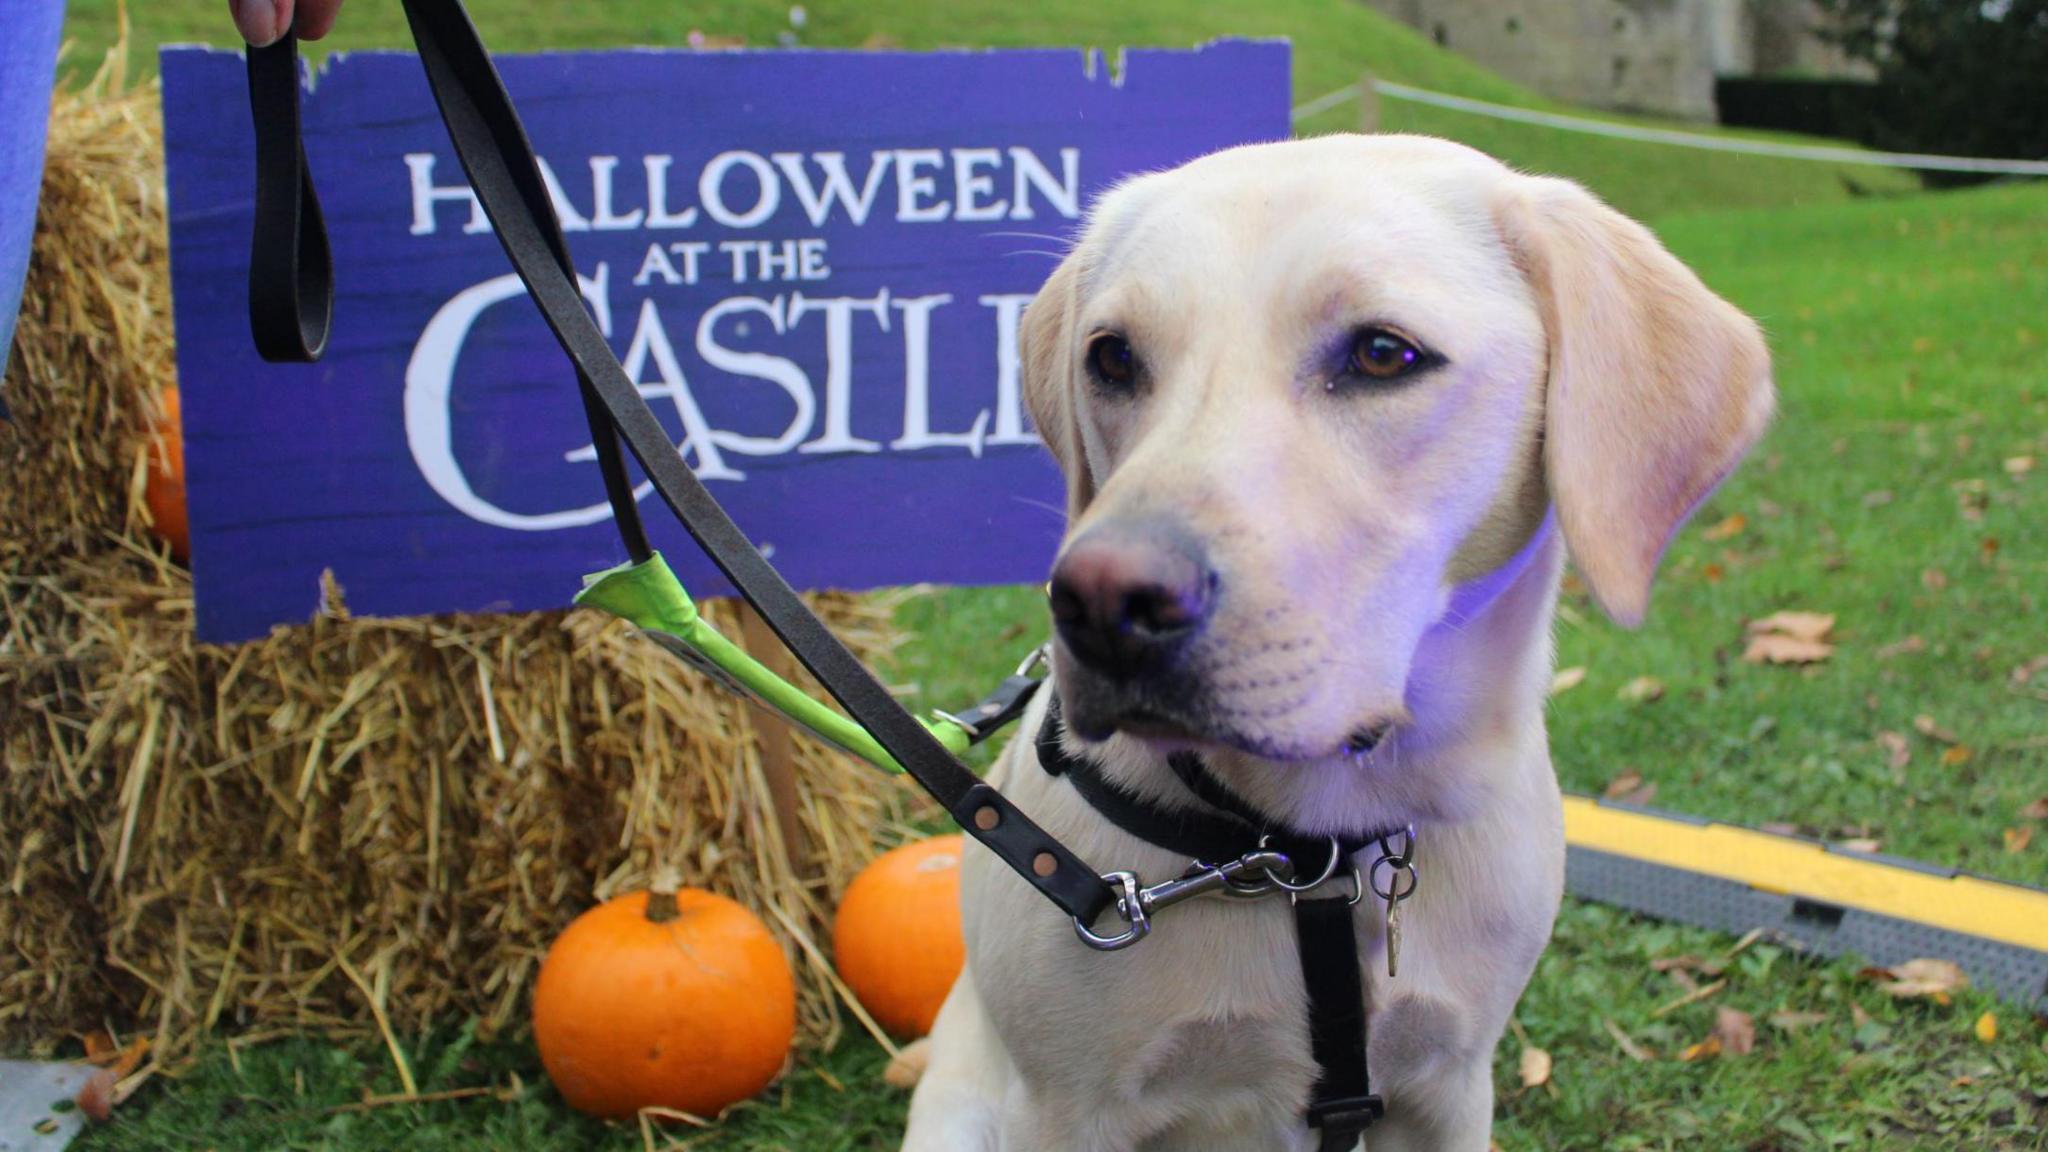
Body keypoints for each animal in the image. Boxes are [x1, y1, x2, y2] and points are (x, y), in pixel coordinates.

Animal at [905, 136, 1769, 1147]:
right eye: (1111, 358)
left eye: (1383, 354)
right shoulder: (1064, 1110)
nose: (1100, 604)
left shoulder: (1450, 1084)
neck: (1308, 855)